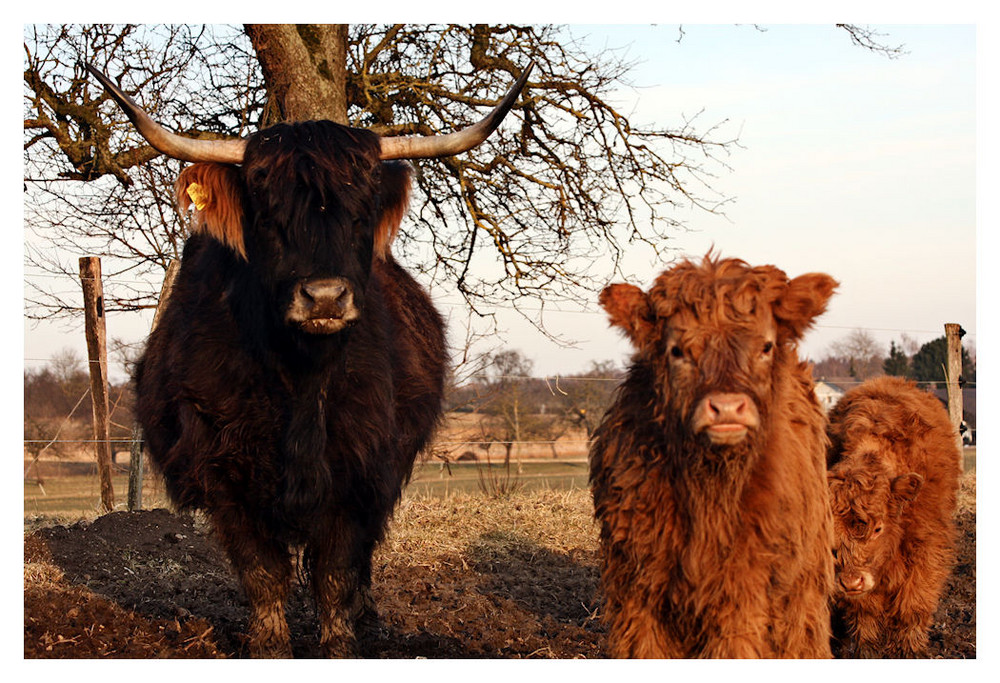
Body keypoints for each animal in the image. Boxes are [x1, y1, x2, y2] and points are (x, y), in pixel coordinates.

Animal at [824, 376, 964, 660]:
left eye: (879, 528)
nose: (851, 581)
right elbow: (865, 611)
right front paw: (866, 650)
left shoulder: (927, 549)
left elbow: (914, 603)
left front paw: (909, 649)